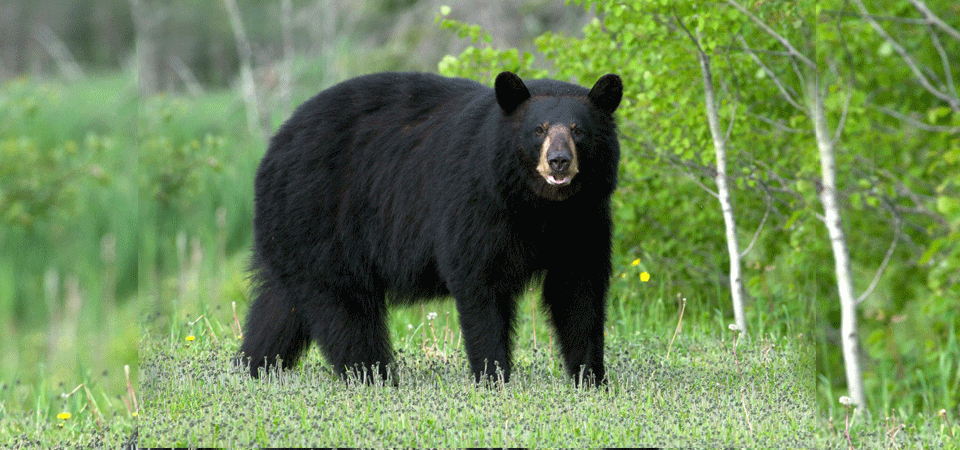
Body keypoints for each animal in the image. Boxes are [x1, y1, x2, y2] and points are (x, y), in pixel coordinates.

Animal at [240, 69, 624, 384]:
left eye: (578, 130)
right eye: (538, 130)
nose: (559, 161)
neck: (540, 207)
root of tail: (273, 148)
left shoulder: (584, 219)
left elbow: (578, 292)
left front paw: (590, 378)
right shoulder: (476, 205)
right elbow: (480, 285)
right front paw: (493, 377)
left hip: (293, 237)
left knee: (279, 307)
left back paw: (253, 366)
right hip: (323, 221)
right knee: (345, 311)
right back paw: (374, 376)